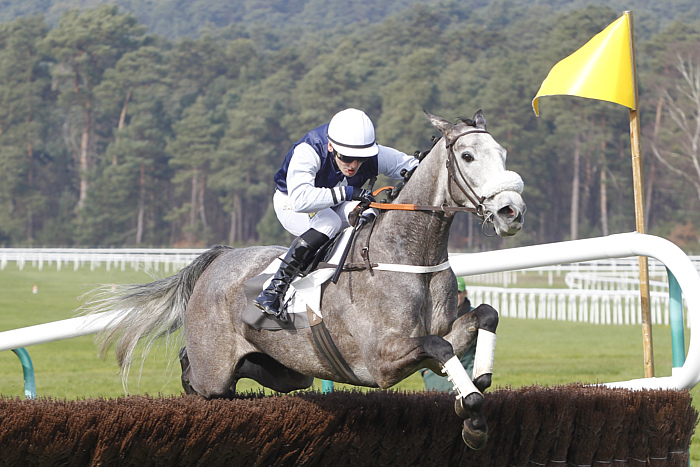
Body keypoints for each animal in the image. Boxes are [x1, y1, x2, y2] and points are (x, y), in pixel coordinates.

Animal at [86, 111, 524, 452]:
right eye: (467, 155)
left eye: (502, 153)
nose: (511, 211)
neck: (408, 254)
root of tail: (220, 257)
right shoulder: (382, 360)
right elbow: (437, 346)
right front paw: (472, 414)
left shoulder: (444, 329)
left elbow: (485, 316)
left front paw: (476, 384)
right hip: (215, 369)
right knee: (200, 378)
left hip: (290, 370)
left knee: (255, 375)